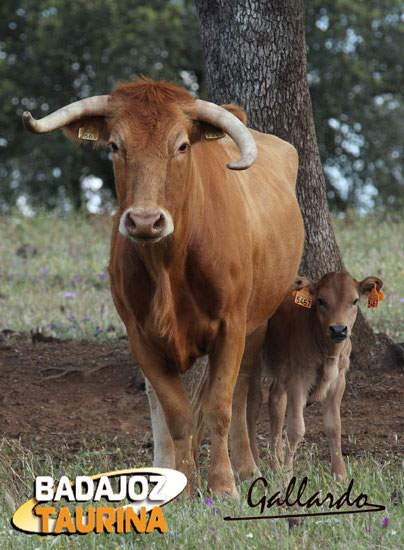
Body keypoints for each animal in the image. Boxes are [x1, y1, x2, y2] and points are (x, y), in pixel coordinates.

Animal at [22, 80, 304, 498]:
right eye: (115, 145)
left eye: (182, 146)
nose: (144, 220)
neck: (168, 267)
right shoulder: (139, 335)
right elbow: (176, 413)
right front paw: (183, 485)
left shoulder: (232, 326)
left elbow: (220, 406)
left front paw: (223, 485)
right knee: (160, 403)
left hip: (258, 320)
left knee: (241, 391)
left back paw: (246, 467)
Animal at [248, 272, 384, 484]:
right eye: (321, 300)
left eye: (354, 301)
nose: (338, 330)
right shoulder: (299, 380)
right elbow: (296, 429)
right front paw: (287, 476)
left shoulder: (339, 381)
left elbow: (334, 426)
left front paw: (340, 475)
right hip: (253, 358)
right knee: (252, 406)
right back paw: (255, 463)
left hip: (281, 374)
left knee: (276, 404)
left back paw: (275, 464)